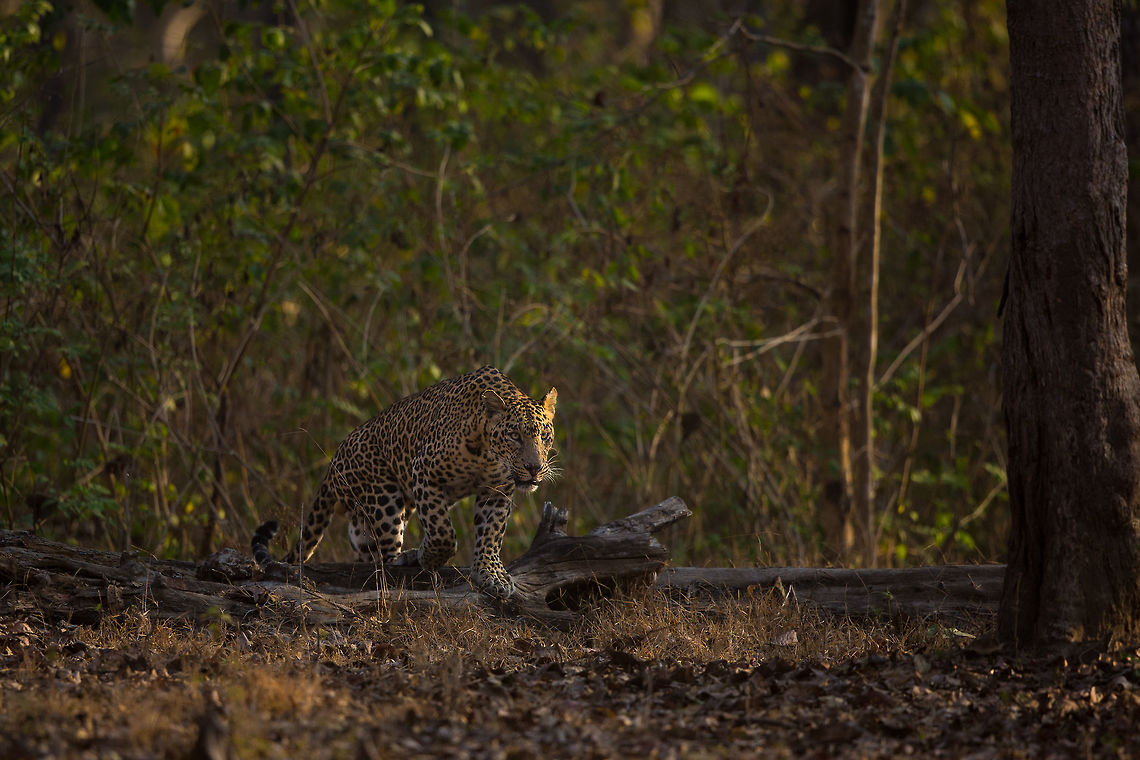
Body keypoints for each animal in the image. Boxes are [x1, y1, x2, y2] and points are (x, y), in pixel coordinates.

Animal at [250, 365, 557, 599]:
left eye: (544, 436)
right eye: (514, 436)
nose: (534, 468)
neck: (487, 452)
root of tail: (334, 460)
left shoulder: (496, 491)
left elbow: (491, 534)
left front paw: (490, 573)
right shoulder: (424, 471)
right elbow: (442, 530)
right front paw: (430, 557)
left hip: (371, 517)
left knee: (365, 552)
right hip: (383, 497)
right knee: (384, 556)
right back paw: (405, 557)